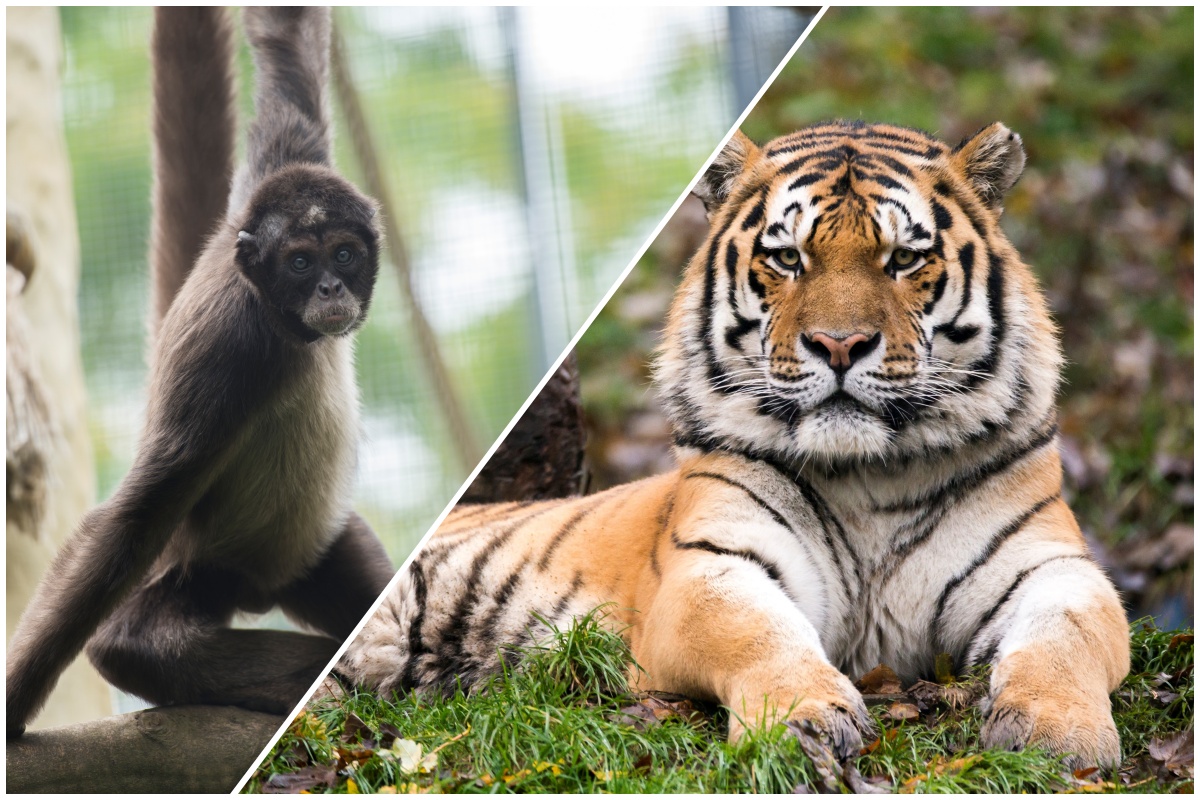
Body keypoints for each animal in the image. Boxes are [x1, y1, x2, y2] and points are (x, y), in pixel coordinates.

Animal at [8, 6, 393, 738]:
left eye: (344, 253)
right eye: (299, 262)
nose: (331, 288)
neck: (277, 318)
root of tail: (257, 586)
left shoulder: (279, 168)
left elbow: (285, 53)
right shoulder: (229, 354)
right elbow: (134, 517)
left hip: (306, 553)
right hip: (198, 567)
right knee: (127, 640)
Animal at [343, 120, 1128, 767]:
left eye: (905, 259)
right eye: (787, 258)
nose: (839, 345)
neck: (870, 475)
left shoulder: (1050, 566)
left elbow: (1067, 635)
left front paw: (1058, 735)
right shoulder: (710, 567)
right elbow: (758, 632)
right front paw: (806, 720)